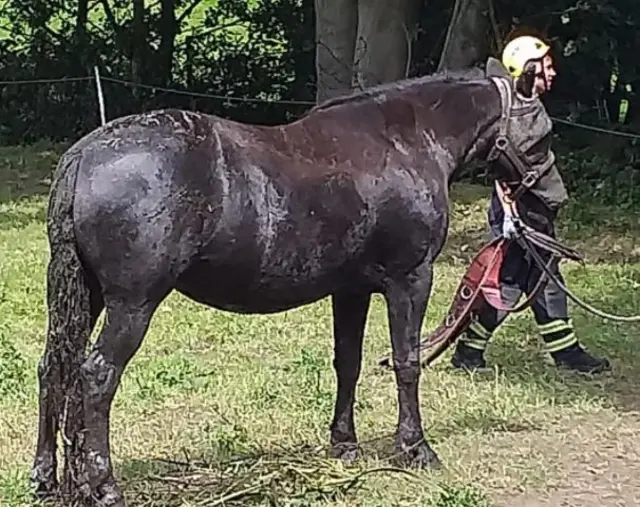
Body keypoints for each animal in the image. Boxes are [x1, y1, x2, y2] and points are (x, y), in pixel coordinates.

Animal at [30, 65, 564, 506]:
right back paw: (103, 486)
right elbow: (407, 363)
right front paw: (416, 448)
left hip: (87, 297)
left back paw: (47, 478)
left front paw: (344, 444)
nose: (554, 199)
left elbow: (348, 363)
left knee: (54, 369)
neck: (407, 143)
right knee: (96, 376)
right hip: (132, 304)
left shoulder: (351, 289)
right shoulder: (410, 279)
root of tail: (85, 154)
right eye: (543, 132)